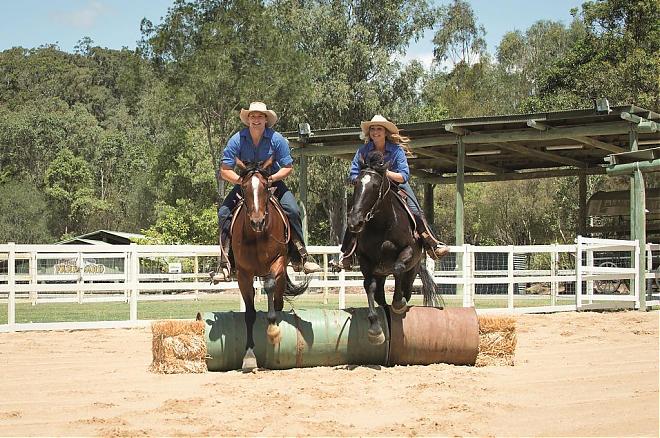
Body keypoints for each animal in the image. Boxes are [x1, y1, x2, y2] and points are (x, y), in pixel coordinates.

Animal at [232, 157, 310, 370]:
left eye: (266, 187)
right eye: (243, 187)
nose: (257, 222)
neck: (257, 236)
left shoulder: (277, 263)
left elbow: (270, 287)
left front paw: (273, 330)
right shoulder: (243, 274)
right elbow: (249, 313)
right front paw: (249, 355)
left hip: (281, 273)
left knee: (278, 300)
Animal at [348, 151, 440, 346]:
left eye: (375, 185)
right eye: (356, 183)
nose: (355, 222)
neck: (382, 225)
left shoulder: (407, 251)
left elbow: (397, 268)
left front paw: (398, 303)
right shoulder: (365, 261)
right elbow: (369, 286)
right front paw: (375, 329)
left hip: (412, 272)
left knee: (405, 288)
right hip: (381, 274)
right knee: (380, 296)